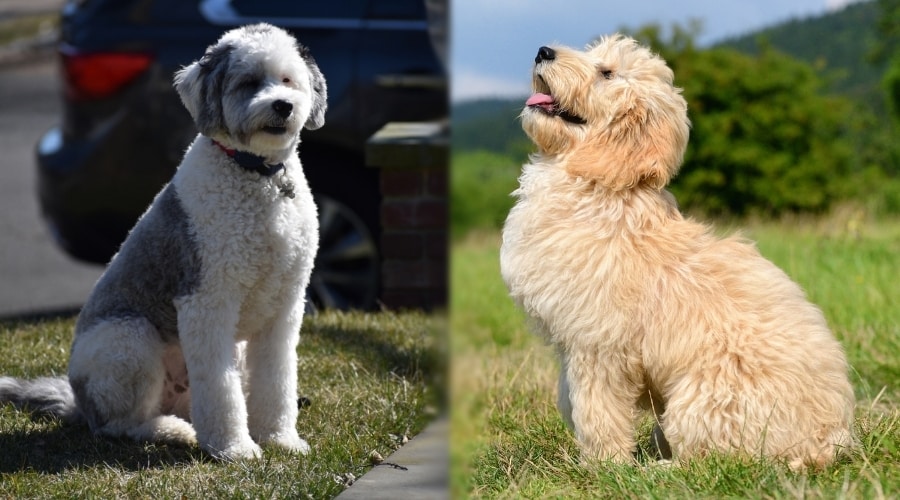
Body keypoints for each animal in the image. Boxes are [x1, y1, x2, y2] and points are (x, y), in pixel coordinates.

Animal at [0, 23, 326, 460]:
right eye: (248, 82)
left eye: (289, 80)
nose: (283, 106)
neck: (257, 175)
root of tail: (78, 402)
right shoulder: (206, 300)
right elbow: (220, 388)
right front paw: (234, 449)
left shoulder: (285, 305)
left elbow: (278, 379)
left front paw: (280, 438)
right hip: (128, 340)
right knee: (119, 425)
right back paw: (172, 431)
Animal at [502, 35, 856, 468]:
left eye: (607, 73)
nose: (543, 51)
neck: (601, 187)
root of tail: (827, 441)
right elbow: (570, 397)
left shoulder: (598, 345)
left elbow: (595, 407)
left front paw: (603, 464)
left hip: (703, 400)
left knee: (706, 461)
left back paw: (657, 469)